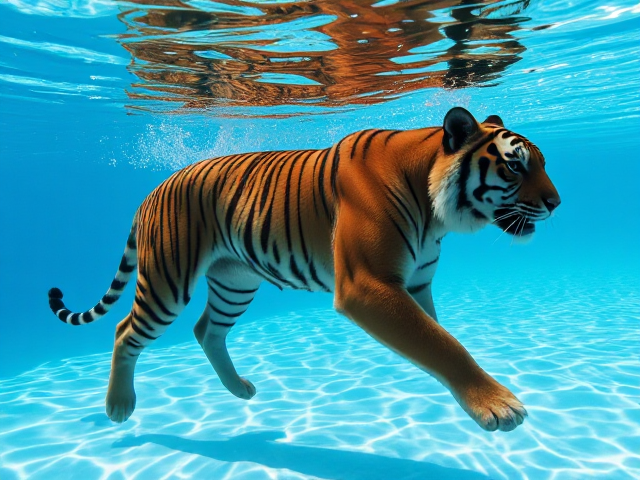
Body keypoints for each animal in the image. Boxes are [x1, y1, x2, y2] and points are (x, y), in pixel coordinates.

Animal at [48, 107, 560, 431]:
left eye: (542, 164)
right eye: (515, 167)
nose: (557, 203)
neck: (436, 210)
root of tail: (149, 193)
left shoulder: (416, 285)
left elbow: (436, 336)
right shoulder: (367, 285)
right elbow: (441, 343)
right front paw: (498, 405)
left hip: (236, 281)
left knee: (206, 330)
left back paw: (239, 390)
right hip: (168, 281)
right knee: (124, 330)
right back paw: (119, 406)